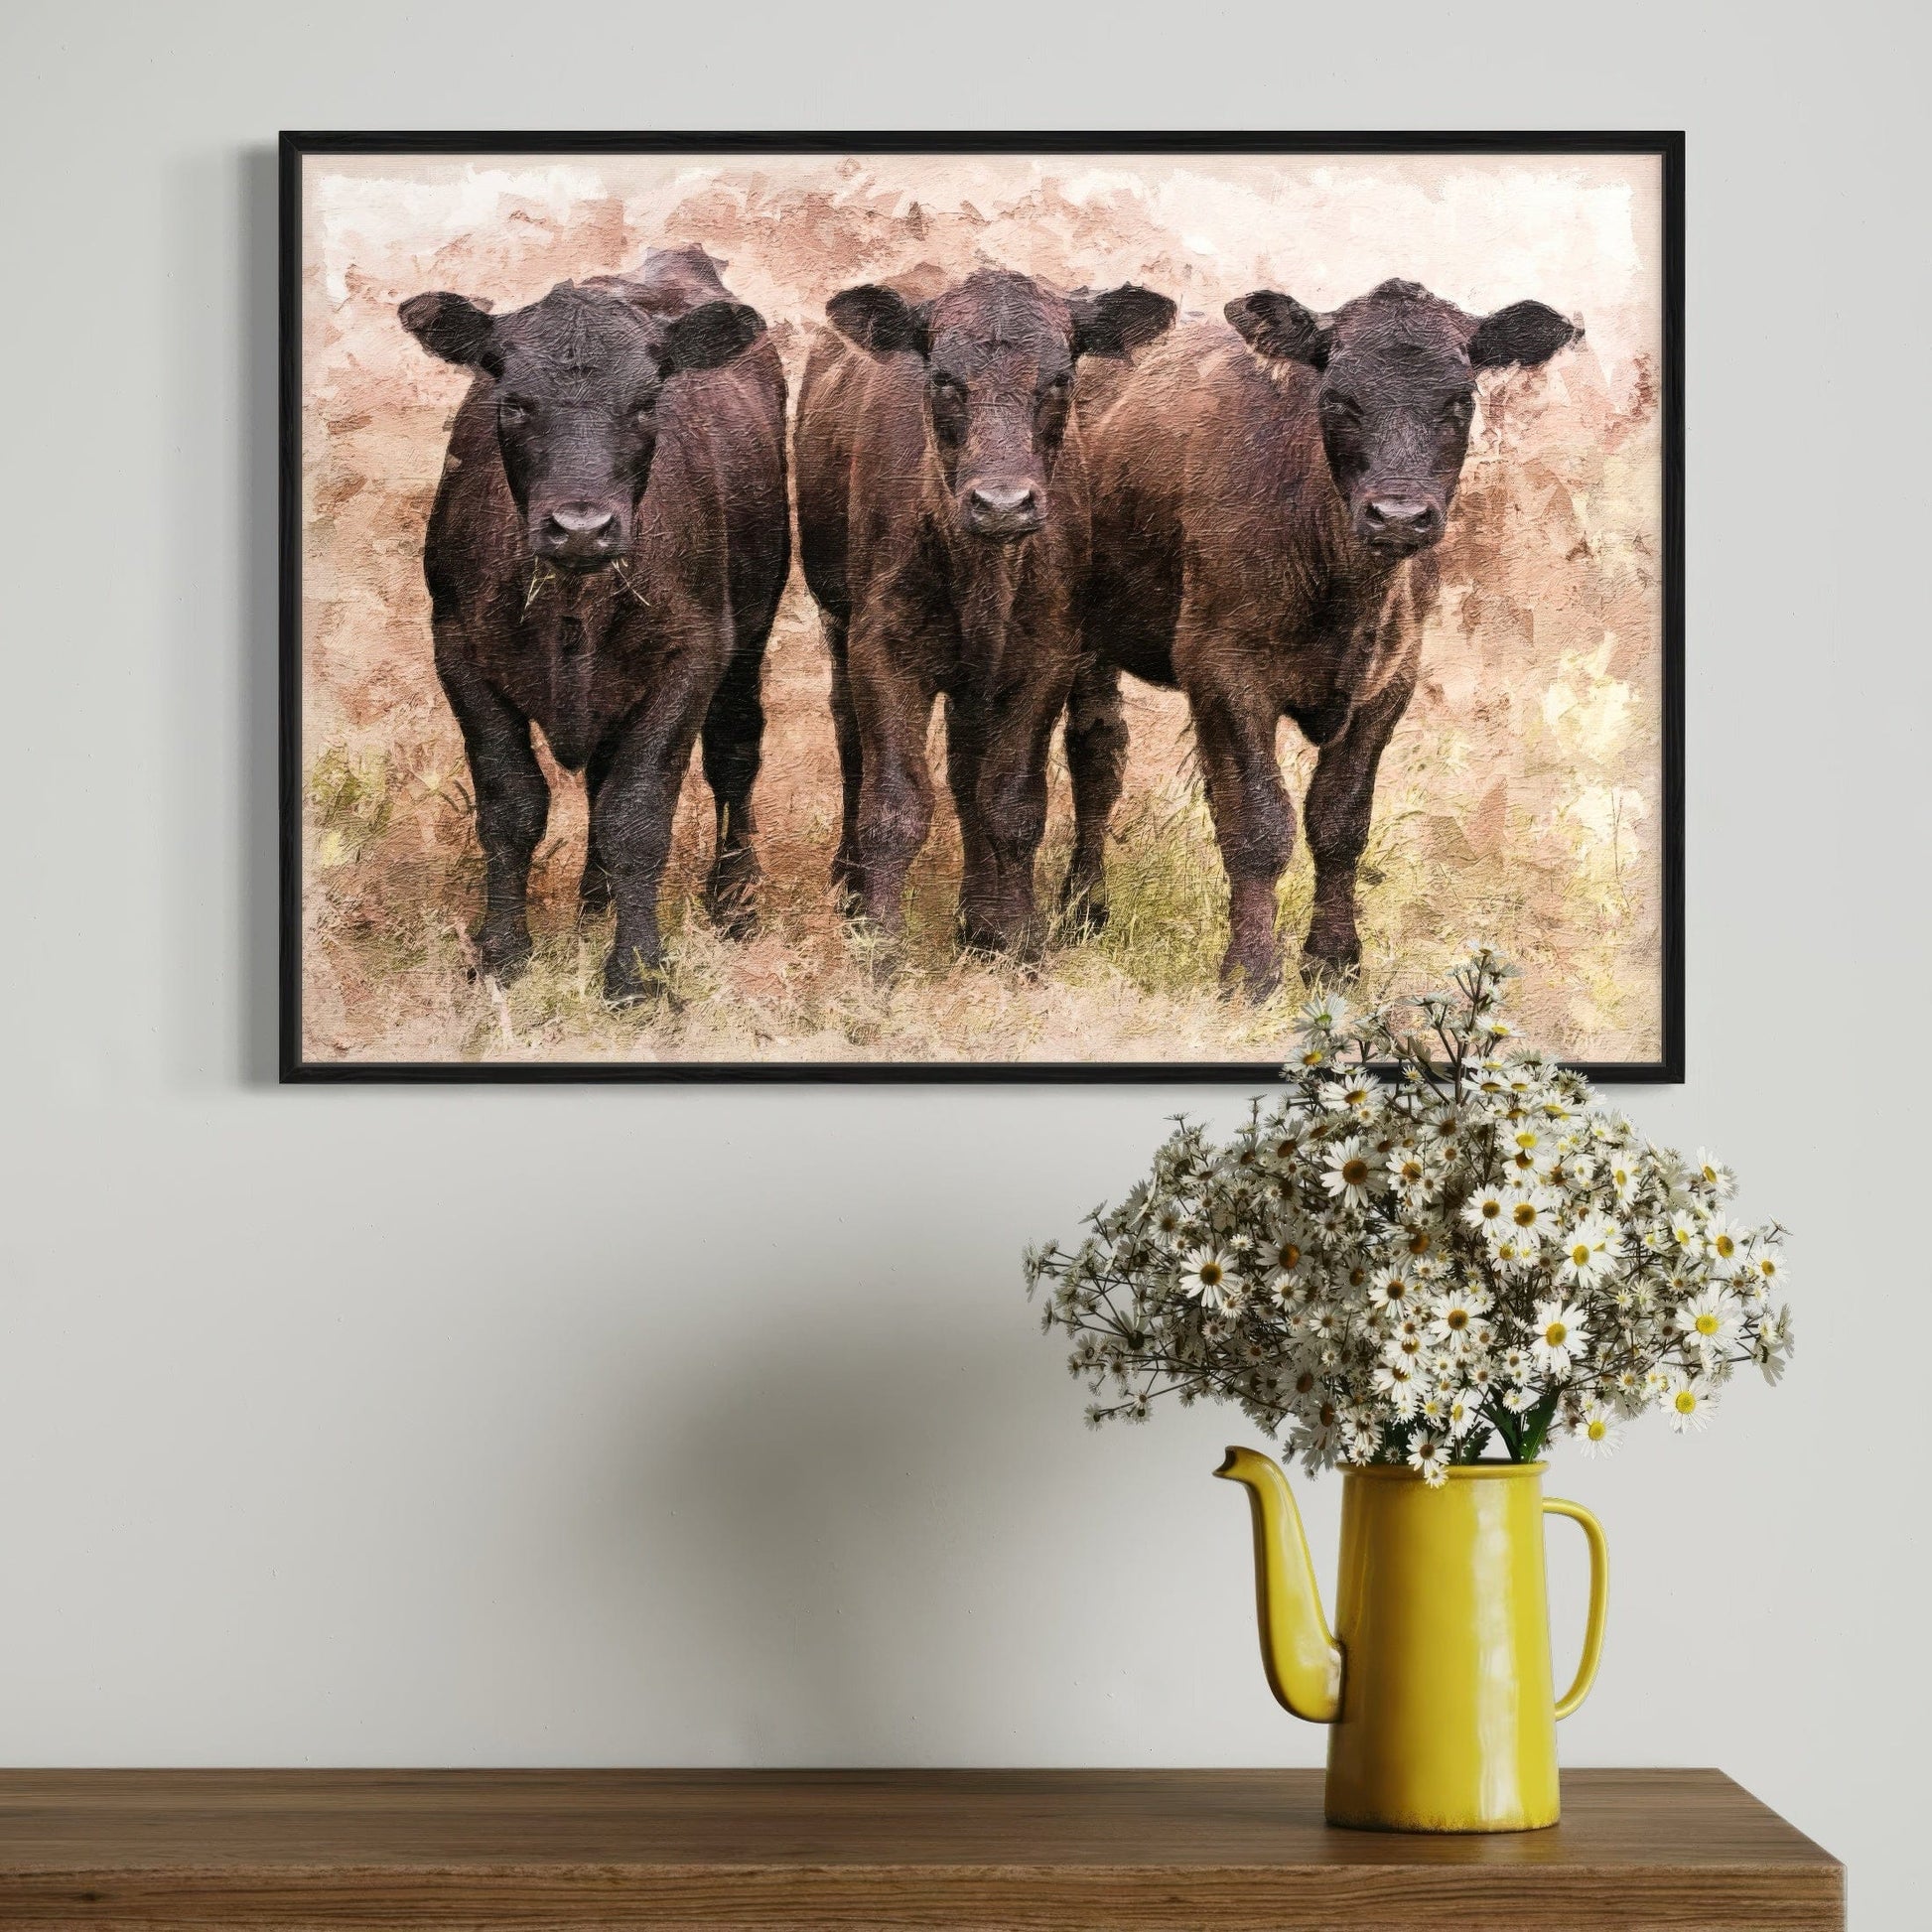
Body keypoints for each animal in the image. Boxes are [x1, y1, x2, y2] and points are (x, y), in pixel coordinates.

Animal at [398, 245, 790, 1004]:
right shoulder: (457, 648)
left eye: (646, 403)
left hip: (749, 638)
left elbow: (636, 815)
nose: (581, 526)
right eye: (514, 402)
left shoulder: (693, 653)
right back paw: (594, 902)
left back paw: (734, 901)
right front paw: (501, 953)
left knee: (734, 755)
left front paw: (636, 972)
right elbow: (511, 805)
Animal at [794, 268, 1176, 960]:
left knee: (1067, 752)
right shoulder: (880, 647)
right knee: (850, 736)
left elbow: (1012, 802)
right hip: (836, 619)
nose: (1002, 503)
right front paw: (878, 945)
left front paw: (1016, 936)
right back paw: (852, 881)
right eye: (944, 379)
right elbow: (895, 806)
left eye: (1060, 379)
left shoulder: (1048, 655)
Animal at [1062, 277, 1579, 995]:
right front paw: (1251, 970)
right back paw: (1083, 908)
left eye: (1460, 399)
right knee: (1096, 754)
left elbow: (1339, 821)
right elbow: (1258, 822)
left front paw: (1333, 958)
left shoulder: (1391, 679)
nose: (1398, 515)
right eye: (1337, 399)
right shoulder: (1221, 668)